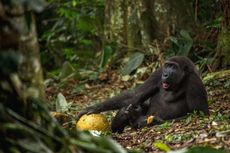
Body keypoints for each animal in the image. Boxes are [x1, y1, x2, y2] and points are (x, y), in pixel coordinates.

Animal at [75, 56, 208, 133]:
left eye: (173, 67)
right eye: (167, 66)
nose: (165, 74)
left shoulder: (193, 81)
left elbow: (199, 114)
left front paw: (148, 120)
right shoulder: (158, 72)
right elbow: (135, 95)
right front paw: (94, 107)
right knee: (126, 107)